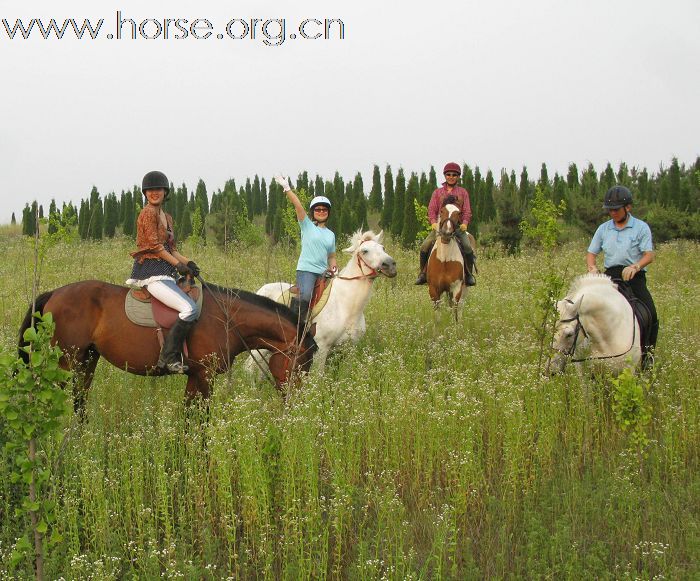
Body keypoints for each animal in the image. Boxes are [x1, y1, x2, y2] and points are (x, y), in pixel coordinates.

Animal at [17, 280, 318, 408]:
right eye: (301, 364)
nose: (295, 403)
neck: (227, 318)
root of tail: (55, 293)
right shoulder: (205, 376)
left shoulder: (195, 376)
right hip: (65, 362)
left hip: (88, 359)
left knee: (80, 400)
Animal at [249, 228, 396, 372]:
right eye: (364, 251)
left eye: (383, 248)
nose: (390, 265)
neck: (346, 307)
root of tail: (261, 290)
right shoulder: (322, 348)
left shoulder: (349, 350)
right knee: (250, 366)